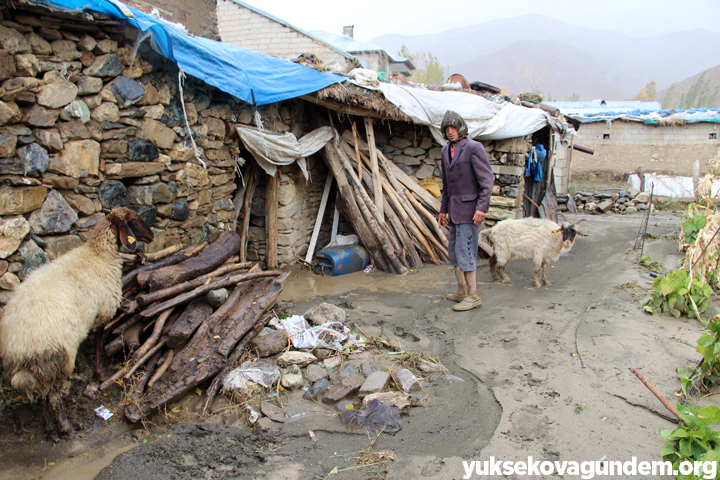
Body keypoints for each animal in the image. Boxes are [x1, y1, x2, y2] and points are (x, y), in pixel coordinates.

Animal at [0, 206, 153, 432]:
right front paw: (100, 373)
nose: (151, 235)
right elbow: (98, 342)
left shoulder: (81, 325)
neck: (98, 253)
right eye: (133, 221)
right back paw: (65, 427)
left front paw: (83, 369)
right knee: (53, 397)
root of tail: (18, 349)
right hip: (55, 360)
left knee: (42, 396)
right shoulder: (103, 309)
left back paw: (49, 427)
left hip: (41, 370)